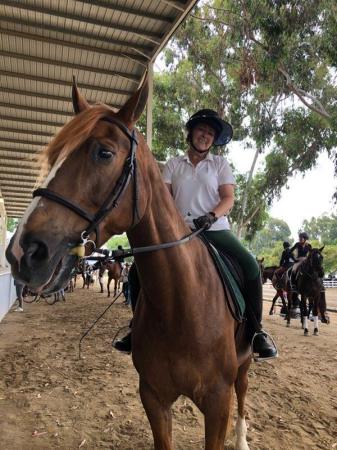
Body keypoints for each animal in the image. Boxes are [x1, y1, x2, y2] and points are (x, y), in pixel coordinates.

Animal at [5, 77, 252, 450]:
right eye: (54, 156)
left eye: (104, 153)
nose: (22, 252)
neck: (183, 305)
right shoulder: (153, 396)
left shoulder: (217, 404)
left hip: (245, 365)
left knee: (242, 395)